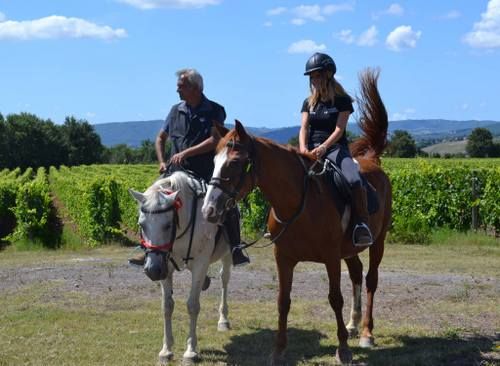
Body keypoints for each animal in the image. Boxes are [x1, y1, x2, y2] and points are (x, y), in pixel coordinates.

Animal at [128, 171, 231, 364]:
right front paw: (166, 350)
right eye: (141, 225)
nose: (153, 270)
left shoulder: (199, 264)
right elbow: (167, 306)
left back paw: (223, 320)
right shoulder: (165, 266)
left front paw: (191, 351)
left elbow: (192, 305)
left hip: (227, 254)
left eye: (167, 225)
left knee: (224, 280)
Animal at [203, 68, 390, 364]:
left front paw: (343, 349)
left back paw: (366, 333)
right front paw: (278, 350)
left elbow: (334, 297)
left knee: (371, 279)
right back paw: (352, 324)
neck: (298, 204)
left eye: (234, 162)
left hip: (378, 241)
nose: (209, 209)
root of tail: (372, 160)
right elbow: (283, 300)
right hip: (349, 249)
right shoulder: (284, 258)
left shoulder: (330, 256)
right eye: (213, 162)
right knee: (357, 274)